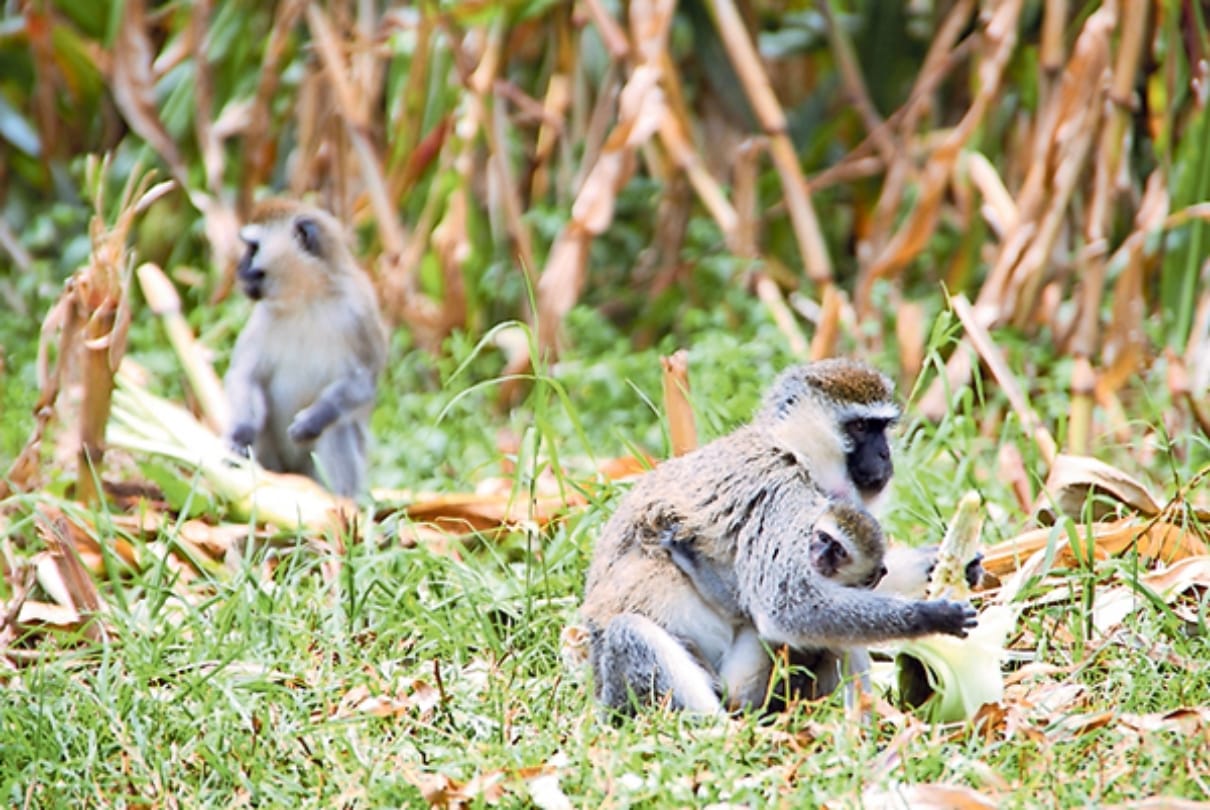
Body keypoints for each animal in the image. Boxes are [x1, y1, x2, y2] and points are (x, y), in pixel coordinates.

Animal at [223, 199, 388, 498]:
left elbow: (363, 383)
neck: (307, 298)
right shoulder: (262, 316)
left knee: (337, 429)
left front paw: (312, 420)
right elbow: (245, 376)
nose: (238, 269)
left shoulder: (359, 311)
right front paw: (241, 434)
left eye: (252, 249)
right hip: (276, 465)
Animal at [580, 359, 977, 715]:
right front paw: (930, 616)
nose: (884, 454)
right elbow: (784, 606)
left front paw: (947, 562)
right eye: (861, 427)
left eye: (883, 428)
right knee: (629, 633)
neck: (793, 451)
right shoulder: (778, 495)